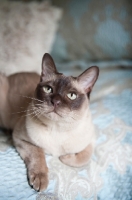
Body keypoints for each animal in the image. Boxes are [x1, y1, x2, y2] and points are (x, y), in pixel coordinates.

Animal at [0, 52, 99, 191]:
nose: (55, 102)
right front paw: (40, 180)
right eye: (48, 89)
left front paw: (64, 157)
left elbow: (83, 158)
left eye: (71, 95)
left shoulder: (91, 141)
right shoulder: (22, 139)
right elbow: (38, 155)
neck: (58, 129)